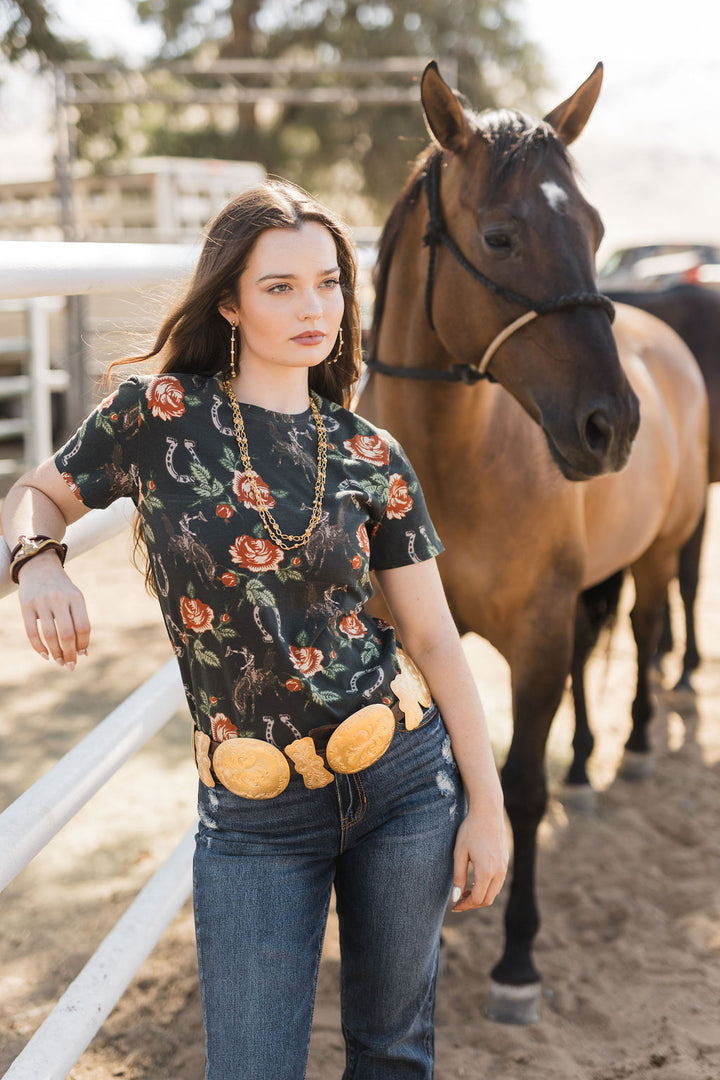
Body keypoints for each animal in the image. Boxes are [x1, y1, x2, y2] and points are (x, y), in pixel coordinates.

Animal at [358, 63, 708, 1023]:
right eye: (500, 236)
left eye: (595, 230)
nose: (611, 425)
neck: (450, 470)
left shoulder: (537, 634)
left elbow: (517, 786)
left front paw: (516, 960)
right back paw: (588, 768)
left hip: (658, 553)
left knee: (650, 629)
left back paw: (631, 750)